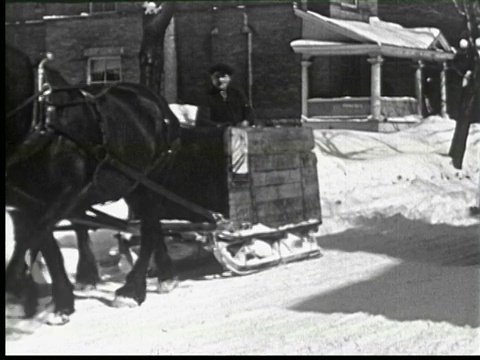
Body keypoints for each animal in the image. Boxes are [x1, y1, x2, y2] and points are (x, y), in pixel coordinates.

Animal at [4, 44, 200, 324]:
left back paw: (131, 290)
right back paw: (164, 276)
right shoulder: (25, 202)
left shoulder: (66, 193)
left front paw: (20, 289)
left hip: (149, 181)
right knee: (147, 227)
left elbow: (33, 239)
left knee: (150, 228)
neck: (41, 116)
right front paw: (57, 302)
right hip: (132, 184)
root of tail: (159, 103)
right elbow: (43, 244)